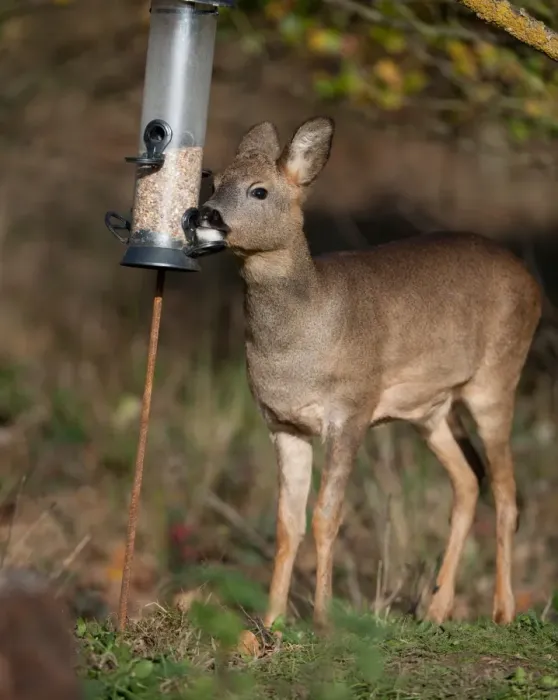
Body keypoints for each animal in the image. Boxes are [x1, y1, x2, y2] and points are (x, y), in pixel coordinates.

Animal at [194, 116, 542, 634]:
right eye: (213, 180)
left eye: (259, 190)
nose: (205, 215)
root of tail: (532, 282)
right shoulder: (283, 423)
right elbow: (287, 523)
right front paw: (271, 623)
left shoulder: (351, 411)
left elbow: (326, 515)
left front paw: (323, 619)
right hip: (432, 410)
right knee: (468, 479)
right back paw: (436, 609)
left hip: (496, 378)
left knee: (505, 492)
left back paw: (503, 611)